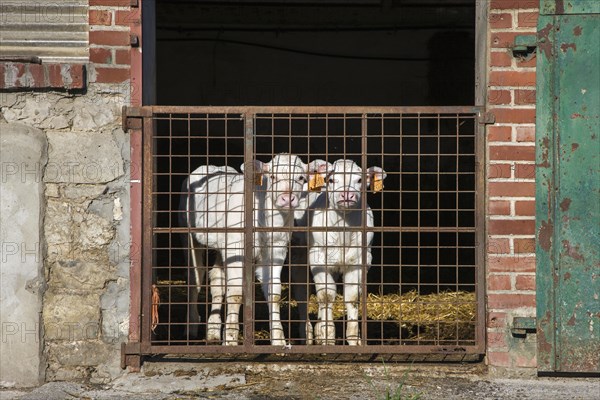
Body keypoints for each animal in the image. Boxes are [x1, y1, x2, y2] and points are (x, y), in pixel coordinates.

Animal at [308, 159, 386, 344]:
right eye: (331, 180)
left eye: (359, 180)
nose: (346, 195)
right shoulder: (318, 259)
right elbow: (326, 297)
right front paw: (328, 337)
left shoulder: (359, 261)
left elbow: (352, 298)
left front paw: (353, 339)